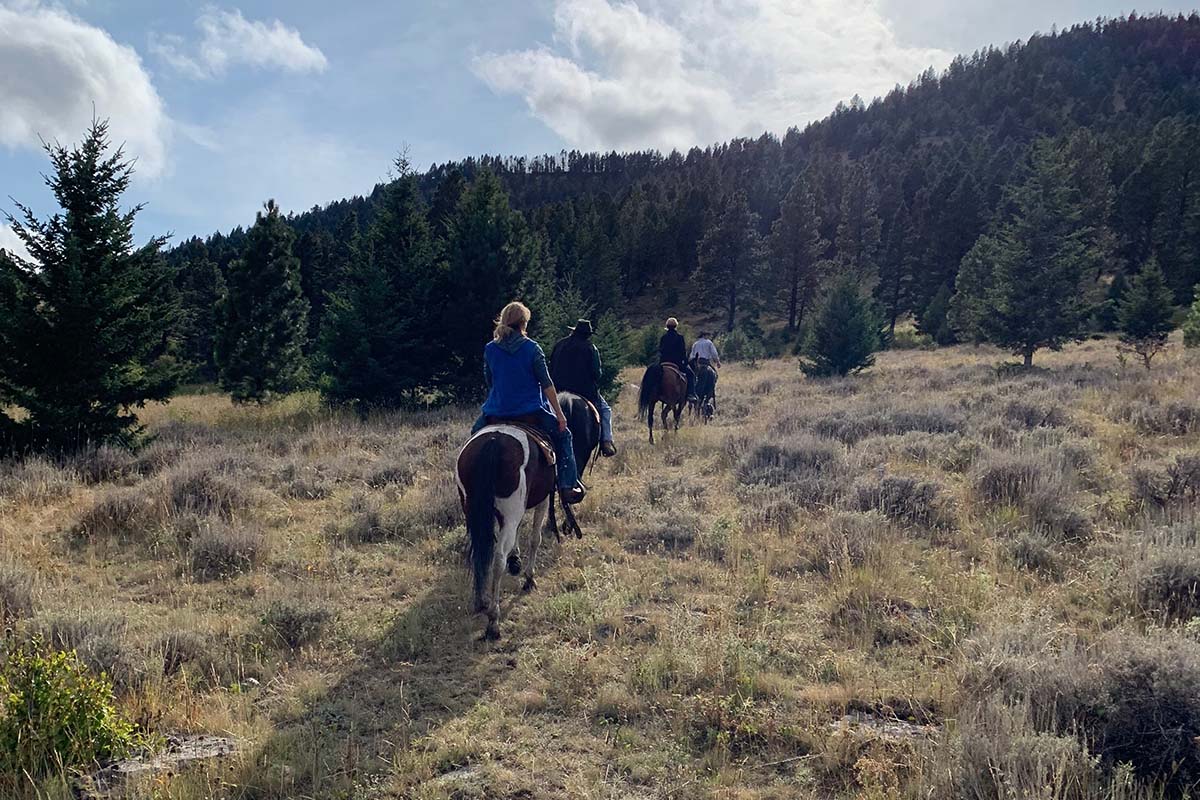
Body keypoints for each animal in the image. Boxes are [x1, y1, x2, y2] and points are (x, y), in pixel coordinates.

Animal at [453, 424, 580, 638]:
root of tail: (493, 442)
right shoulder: (542, 501)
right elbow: (535, 539)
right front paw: (529, 578)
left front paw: (516, 561)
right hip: (511, 511)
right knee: (498, 559)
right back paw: (493, 622)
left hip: (473, 512)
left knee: (479, 554)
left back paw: (481, 601)